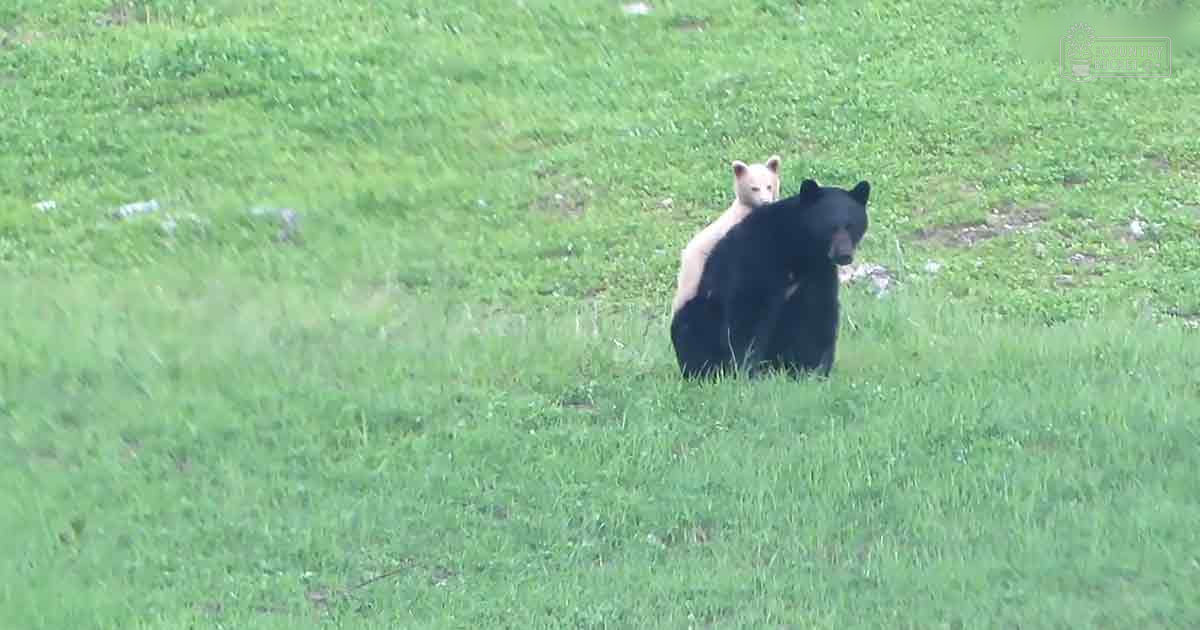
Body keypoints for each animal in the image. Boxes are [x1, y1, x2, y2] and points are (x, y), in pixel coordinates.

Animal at [670, 178, 871, 380]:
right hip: (698, 306)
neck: (799, 251)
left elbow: (817, 314)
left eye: (851, 226)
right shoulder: (757, 257)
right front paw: (748, 372)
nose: (844, 255)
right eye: (830, 227)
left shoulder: (818, 272)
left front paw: (814, 371)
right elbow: (748, 314)